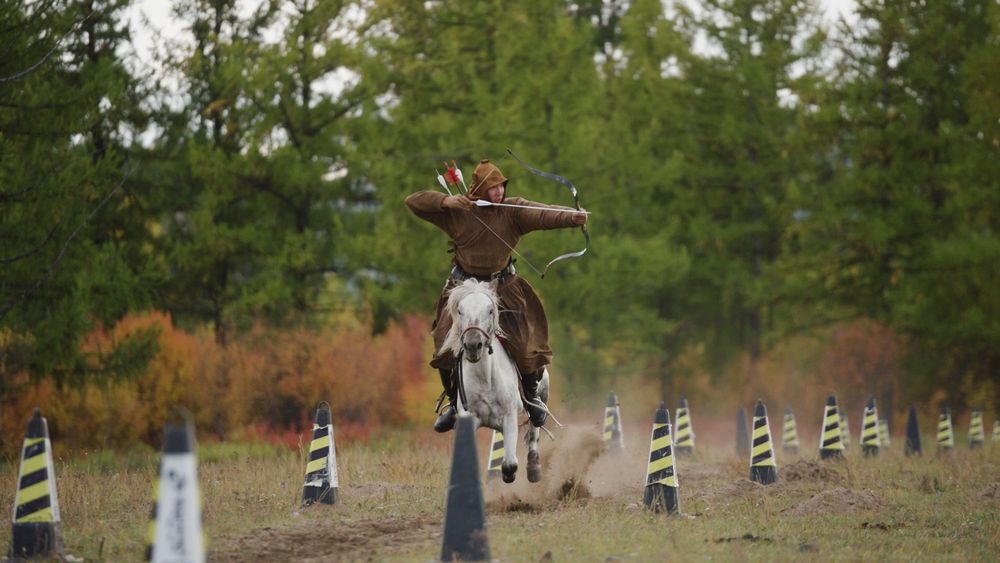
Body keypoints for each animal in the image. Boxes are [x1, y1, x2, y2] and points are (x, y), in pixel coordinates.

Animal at [440, 278, 548, 483]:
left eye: (490, 310)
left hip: (542, 395)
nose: (473, 345)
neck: (485, 379)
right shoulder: (469, 418)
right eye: (460, 310)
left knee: (534, 430)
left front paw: (508, 474)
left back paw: (534, 467)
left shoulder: (509, 416)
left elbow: (510, 464)